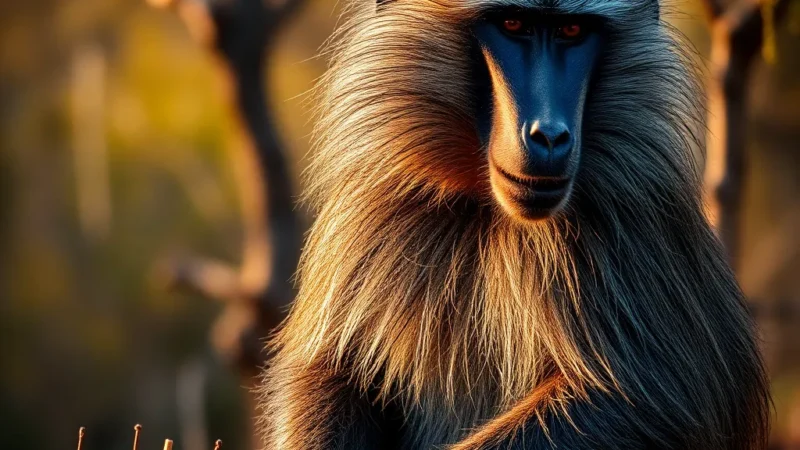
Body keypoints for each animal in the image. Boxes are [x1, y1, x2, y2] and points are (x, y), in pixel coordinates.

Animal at [258, 0, 771, 448]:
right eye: (512, 24)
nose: (550, 135)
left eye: (571, 31)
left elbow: (652, 399)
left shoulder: (632, 215)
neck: (490, 214)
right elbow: (335, 369)